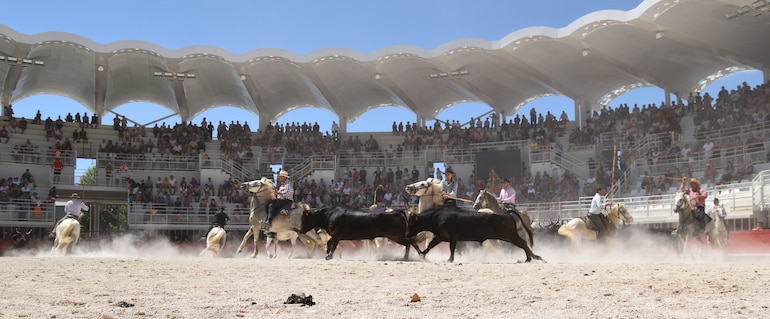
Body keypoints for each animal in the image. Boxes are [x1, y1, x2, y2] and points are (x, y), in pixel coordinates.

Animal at [404, 206, 544, 264]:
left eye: (411, 223)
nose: (406, 235)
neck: (437, 216)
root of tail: (506, 214)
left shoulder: (453, 237)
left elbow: (451, 248)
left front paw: (450, 259)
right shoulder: (441, 236)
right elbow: (431, 246)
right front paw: (422, 255)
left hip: (509, 235)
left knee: (523, 243)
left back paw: (533, 257)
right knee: (523, 243)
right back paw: (531, 258)